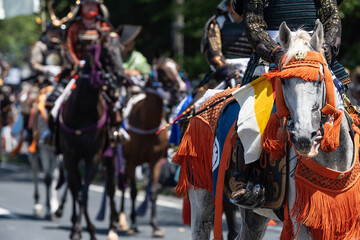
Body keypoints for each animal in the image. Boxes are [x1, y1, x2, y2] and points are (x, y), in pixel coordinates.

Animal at [59, 30, 125, 240]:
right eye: (106, 51)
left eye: (121, 49)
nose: (121, 77)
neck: (82, 112)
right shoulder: (70, 155)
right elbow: (77, 190)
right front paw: (77, 229)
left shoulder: (93, 156)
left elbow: (85, 192)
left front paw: (86, 229)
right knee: (74, 187)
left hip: (109, 156)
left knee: (110, 189)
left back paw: (112, 227)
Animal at [119, 57, 186, 237]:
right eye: (162, 71)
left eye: (177, 68)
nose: (179, 90)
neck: (146, 122)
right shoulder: (132, 160)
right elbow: (133, 192)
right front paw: (134, 223)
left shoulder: (155, 160)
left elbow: (154, 192)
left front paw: (155, 226)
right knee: (122, 185)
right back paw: (121, 220)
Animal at [187, 19, 358, 239]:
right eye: (283, 80)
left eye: (319, 79)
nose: (304, 137)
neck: (335, 162)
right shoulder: (301, 223)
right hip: (201, 194)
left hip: (255, 214)